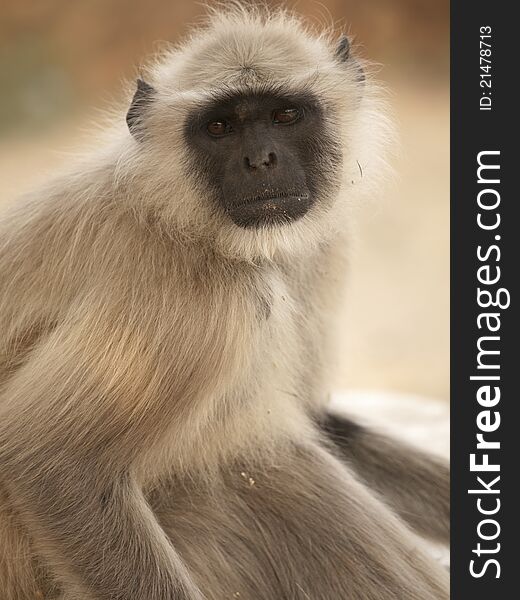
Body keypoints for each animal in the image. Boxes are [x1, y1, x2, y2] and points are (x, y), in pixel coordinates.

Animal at [0, 4, 446, 600]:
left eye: (285, 115)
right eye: (220, 127)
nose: (261, 160)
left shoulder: (322, 245)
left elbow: (317, 419)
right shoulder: (192, 295)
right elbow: (54, 464)